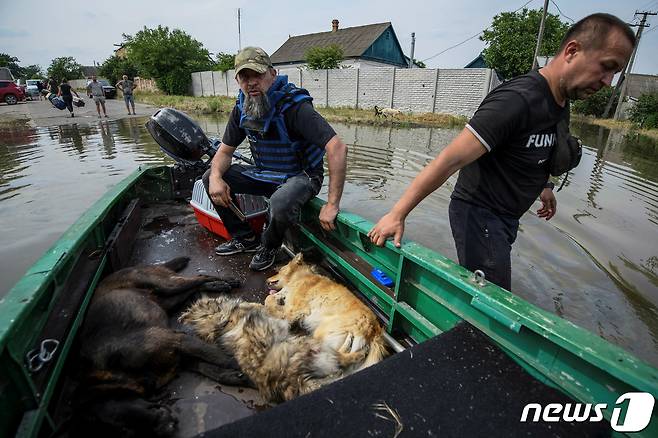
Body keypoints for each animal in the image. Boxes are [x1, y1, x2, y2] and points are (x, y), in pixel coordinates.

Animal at [70, 256, 246, 438]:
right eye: (125, 432)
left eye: (123, 427)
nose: (169, 427)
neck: (120, 370)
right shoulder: (180, 357)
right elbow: (210, 368)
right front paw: (233, 376)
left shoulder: (177, 339)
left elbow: (218, 357)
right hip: (167, 300)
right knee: (192, 287)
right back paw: (216, 285)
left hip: (165, 285)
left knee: (198, 277)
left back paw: (225, 281)